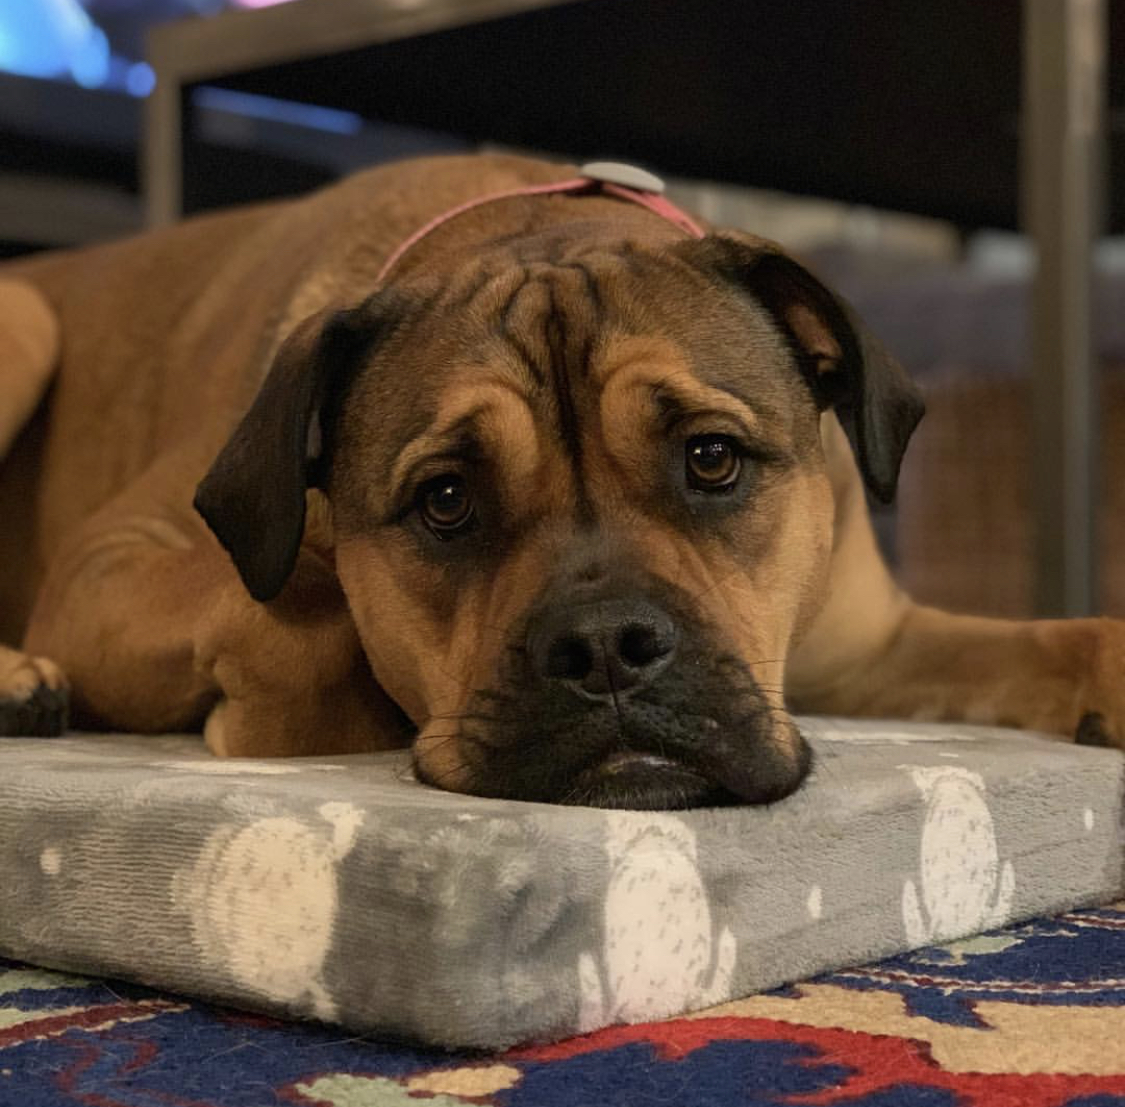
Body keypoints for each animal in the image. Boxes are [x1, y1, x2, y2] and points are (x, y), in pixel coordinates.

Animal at [2, 155, 1125, 810]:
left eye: (712, 456)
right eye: (446, 499)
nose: (605, 647)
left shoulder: (873, 646)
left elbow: (1067, 638)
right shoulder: (110, 564)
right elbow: (301, 637)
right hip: (27, 319)